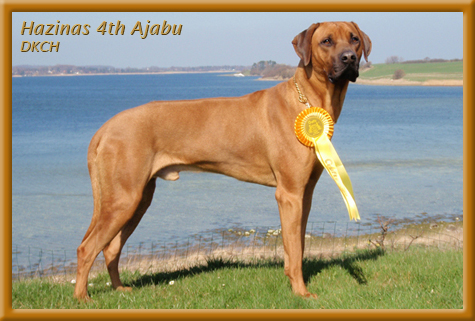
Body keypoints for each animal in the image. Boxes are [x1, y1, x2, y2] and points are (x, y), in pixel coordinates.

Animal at [74, 21, 372, 298]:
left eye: (354, 39)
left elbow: (296, 246)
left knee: (111, 248)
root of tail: (105, 128)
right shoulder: (289, 194)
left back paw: (119, 289)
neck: (307, 101)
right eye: (326, 41)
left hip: (138, 198)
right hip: (124, 198)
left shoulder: (304, 193)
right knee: (87, 248)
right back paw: (82, 298)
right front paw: (301, 293)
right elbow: (294, 249)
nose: (349, 58)